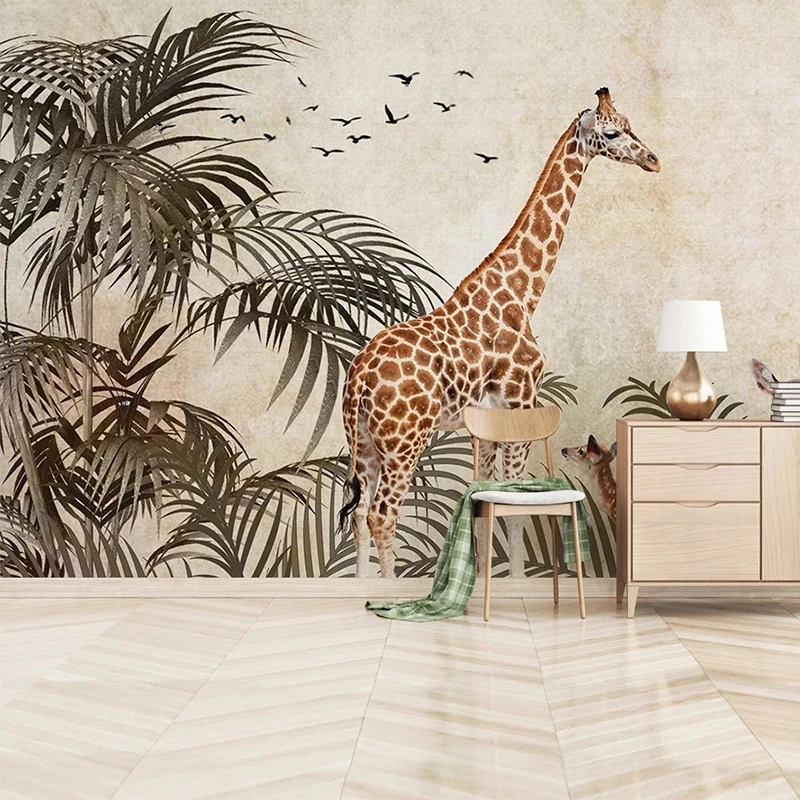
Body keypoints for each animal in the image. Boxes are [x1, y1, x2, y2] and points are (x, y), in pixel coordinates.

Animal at [339, 88, 660, 577]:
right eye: (610, 133)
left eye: (628, 123)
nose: (653, 160)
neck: (523, 293)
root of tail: (359, 377)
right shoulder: (520, 402)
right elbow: (513, 509)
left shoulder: (485, 424)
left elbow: (483, 503)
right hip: (404, 440)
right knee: (382, 515)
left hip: (363, 440)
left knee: (358, 514)